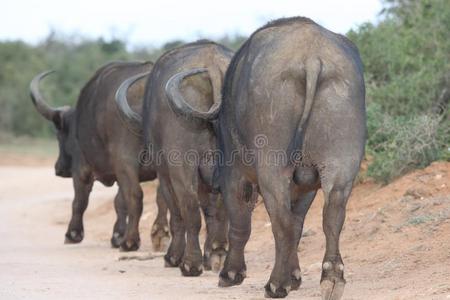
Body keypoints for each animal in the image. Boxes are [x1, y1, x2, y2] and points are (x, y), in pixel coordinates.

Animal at [29, 61, 171, 251]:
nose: (59, 169)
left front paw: (73, 234)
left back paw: (130, 241)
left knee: (136, 195)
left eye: (59, 135)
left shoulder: (83, 169)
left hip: (126, 161)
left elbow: (80, 201)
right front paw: (117, 235)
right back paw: (159, 235)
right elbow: (119, 202)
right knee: (162, 195)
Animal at [114, 41, 234, 276]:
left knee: (189, 211)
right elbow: (210, 211)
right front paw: (209, 255)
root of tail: (213, 65)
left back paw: (189, 263)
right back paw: (217, 253)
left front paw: (174, 257)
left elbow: (176, 213)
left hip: (181, 167)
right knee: (221, 210)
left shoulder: (164, 171)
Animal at [167, 17, 368, 298]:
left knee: (281, 222)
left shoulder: (235, 176)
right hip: (340, 167)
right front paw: (295, 276)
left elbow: (240, 224)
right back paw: (331, 278)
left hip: (272, 169)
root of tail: (312, 58)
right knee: (332, 215)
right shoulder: (305, 187)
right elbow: (298, 224)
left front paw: (231, 273)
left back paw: (276, 284)